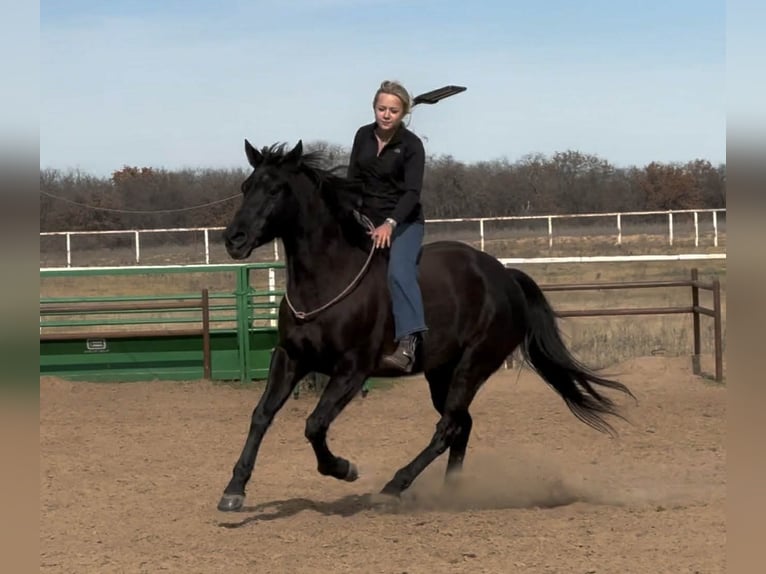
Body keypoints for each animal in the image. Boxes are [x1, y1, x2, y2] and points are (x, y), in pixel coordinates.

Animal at [217, 139, 633, 512]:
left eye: (275, 189)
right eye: (246, 186)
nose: (233, 239)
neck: (329, 277)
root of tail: (505, 277)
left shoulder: (352, 370)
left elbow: (315, 424)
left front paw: (344, 468)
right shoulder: (290, 358)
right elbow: (261, 415)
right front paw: (234, 489)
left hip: (473, 366)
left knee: (447, 427)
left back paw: (394, 487)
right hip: (441, 372)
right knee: (461, 424)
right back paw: (451, 492)